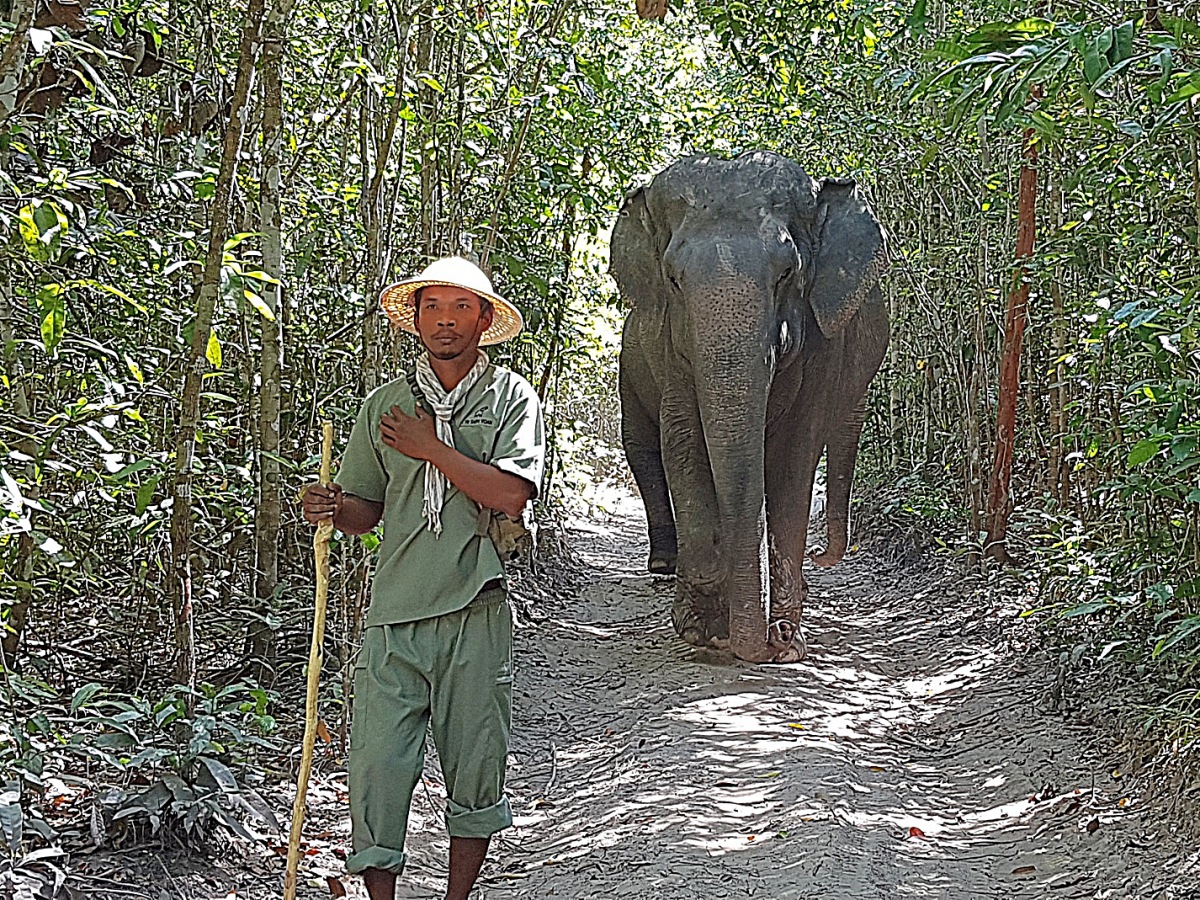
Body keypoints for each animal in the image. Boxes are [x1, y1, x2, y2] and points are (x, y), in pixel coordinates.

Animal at [610, 150, 889, 664]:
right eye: (673, 279)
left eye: (787, 274)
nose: (768, 637)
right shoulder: (667, 350)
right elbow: (684, 443)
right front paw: (702, 628)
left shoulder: (824, 349)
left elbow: (795, 459)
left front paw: (787, 640)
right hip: (630, 366)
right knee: (641, 447)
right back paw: (665, 565)